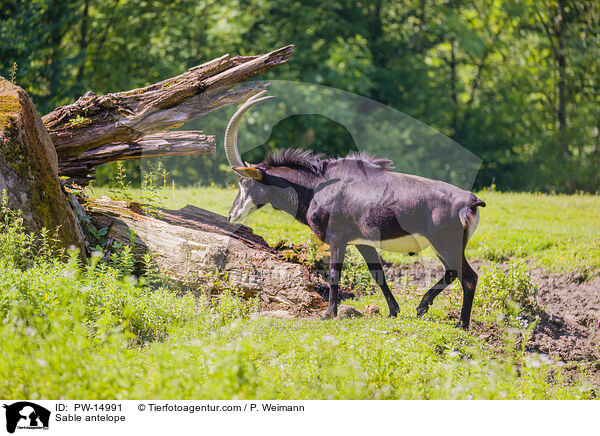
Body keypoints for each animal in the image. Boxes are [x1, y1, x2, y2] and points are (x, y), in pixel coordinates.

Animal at [223, 91, 486, 328]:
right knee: (453, 272)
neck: (317, 185)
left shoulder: (337, 238)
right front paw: (393, 311)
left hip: (445, 243)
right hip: (442, 245)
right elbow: (377, 272)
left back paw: (460, 323)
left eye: (244, 182)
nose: (231, 215)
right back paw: (424, 306)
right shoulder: (362, 242)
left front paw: (328, 314)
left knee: (468, 277)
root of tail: (469, 201)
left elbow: (333, 273)